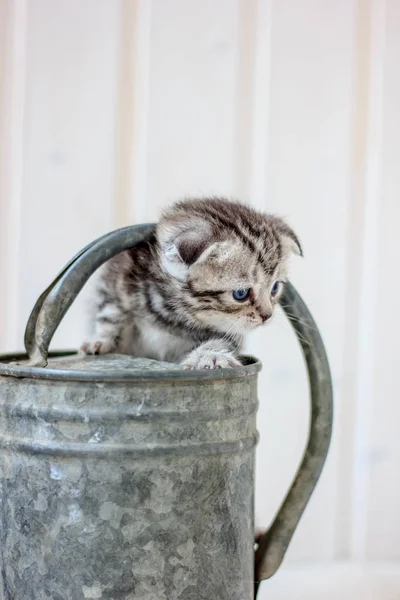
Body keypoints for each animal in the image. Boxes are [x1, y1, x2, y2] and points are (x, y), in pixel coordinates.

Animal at [80, 197, 300, 368]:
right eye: (241, 294)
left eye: (275, 288)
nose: (267, 315)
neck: (173, 315)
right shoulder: (117, 277)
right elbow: (110, 314)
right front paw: (101, 341)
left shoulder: (229, 330)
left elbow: (222, 341)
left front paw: (210, 355)